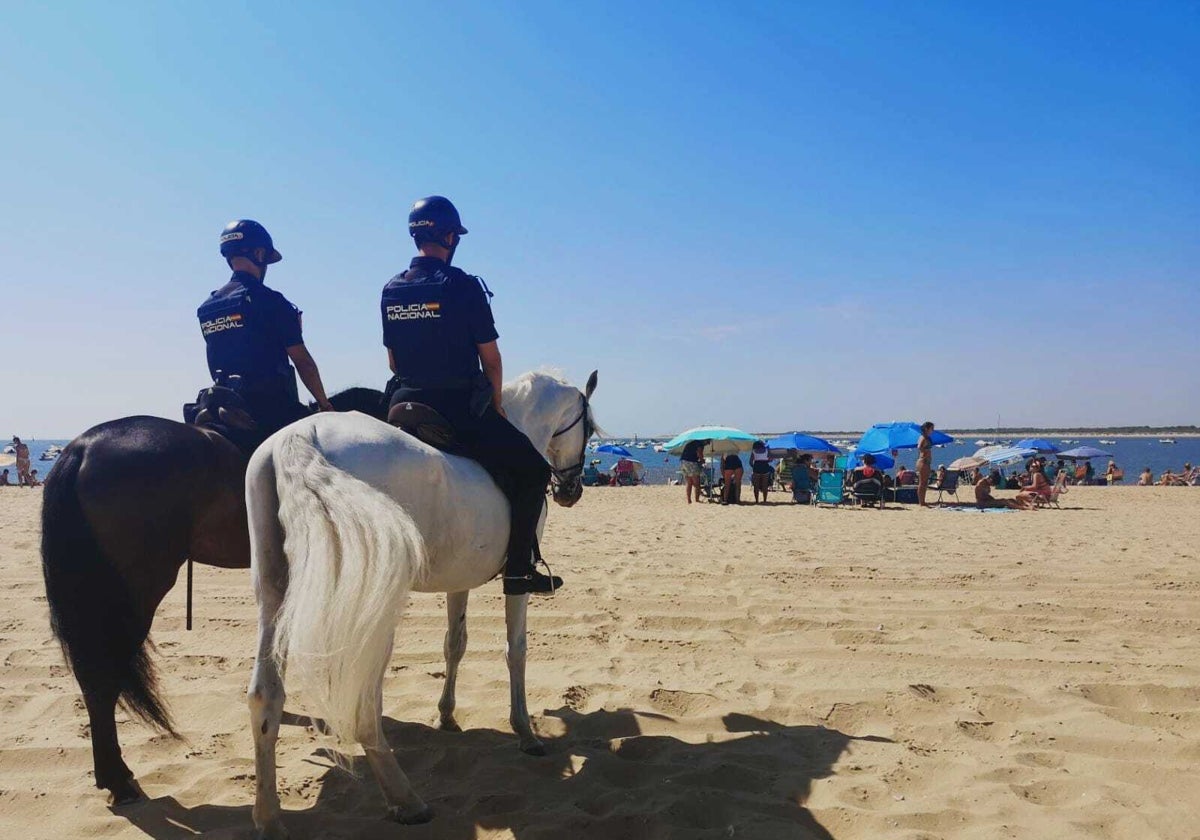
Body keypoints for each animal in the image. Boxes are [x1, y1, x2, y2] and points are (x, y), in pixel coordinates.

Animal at [244, 369, 600, 835]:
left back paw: (269, 818)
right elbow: (516, 650)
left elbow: (455, 644)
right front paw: (524, 730)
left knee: (266, 696)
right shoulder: (516, 580)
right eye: (589, 427)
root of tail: (302, 436)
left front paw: (447, 715)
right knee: (363, 705)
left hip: (274, 597)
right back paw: (405, 799)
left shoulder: (460, 580)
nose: (571, 491)